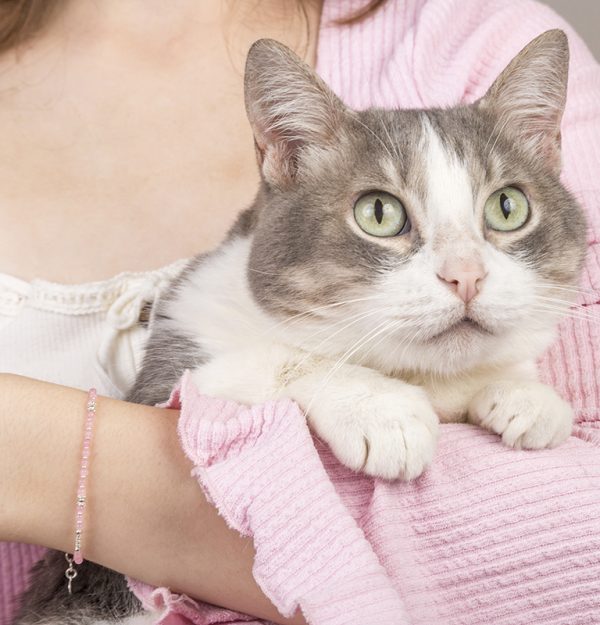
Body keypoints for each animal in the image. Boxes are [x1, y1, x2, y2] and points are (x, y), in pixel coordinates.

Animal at [14, 28, 584, 624]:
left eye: (507, 206)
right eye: (378, 213)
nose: (467, 275)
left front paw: (525, 394)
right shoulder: (173, 355)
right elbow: (272, 360)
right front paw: (381, 408)